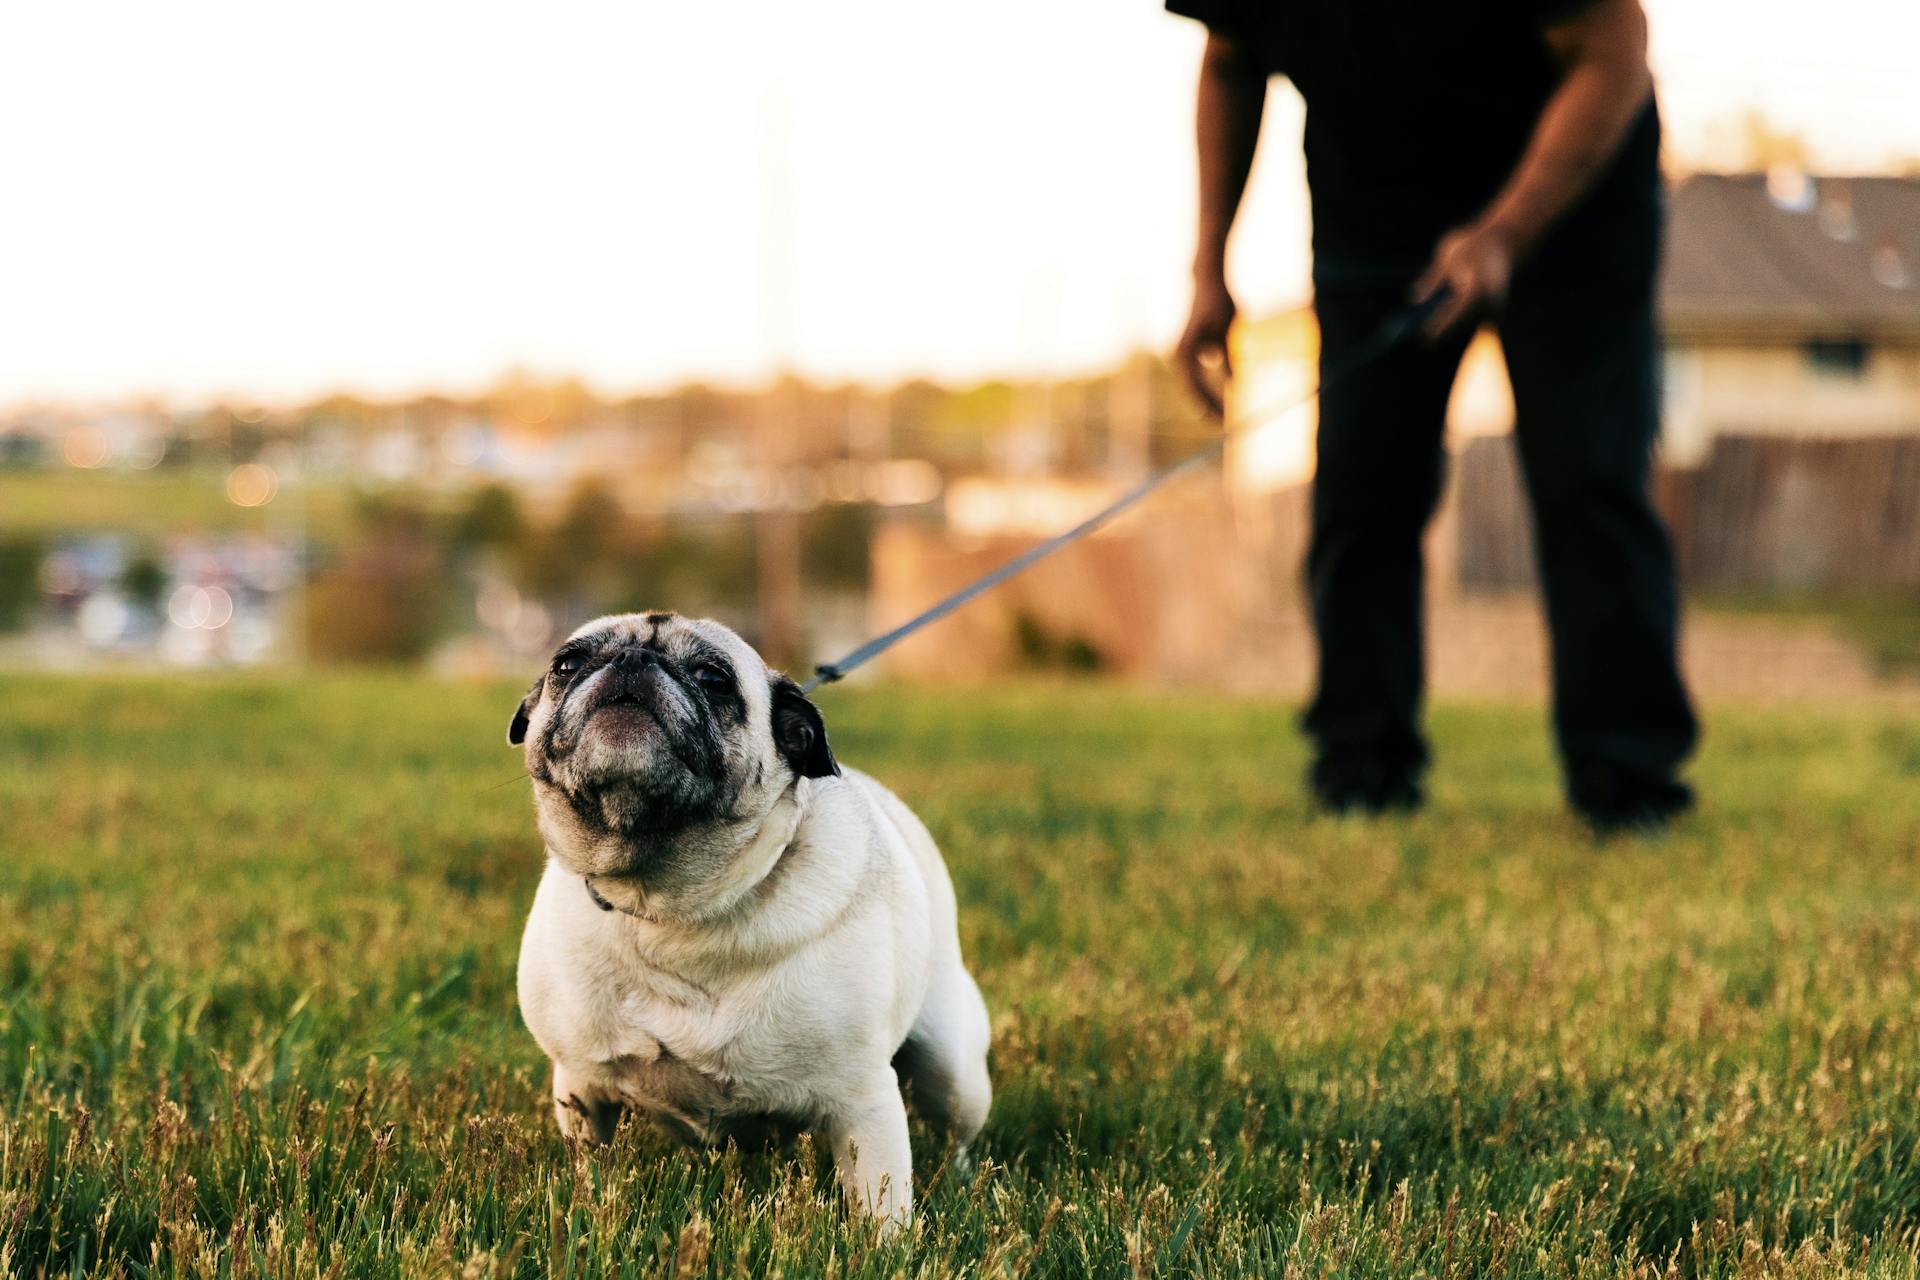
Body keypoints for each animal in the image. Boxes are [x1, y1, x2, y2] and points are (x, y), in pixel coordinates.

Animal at [510, 614, 990, 1228]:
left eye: (714, 678)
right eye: (567, 664)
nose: (633, 660)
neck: (670, 903)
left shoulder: (864, 1101)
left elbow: (880, 1208)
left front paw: (888, 1244)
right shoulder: (581, 1089)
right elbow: (591, 1173)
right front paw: (591, 1215)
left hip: (951, 1069)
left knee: (956, 1132)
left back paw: (963, 1183)